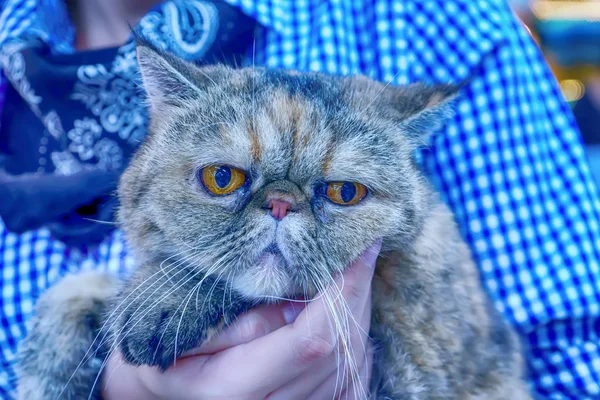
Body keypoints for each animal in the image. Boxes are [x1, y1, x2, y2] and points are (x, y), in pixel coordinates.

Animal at [15, 41, 528, 400]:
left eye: (344, 193)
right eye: (222, 178)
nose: (281, 203)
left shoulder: (414, 363)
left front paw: (161, 298)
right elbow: (72, 290)